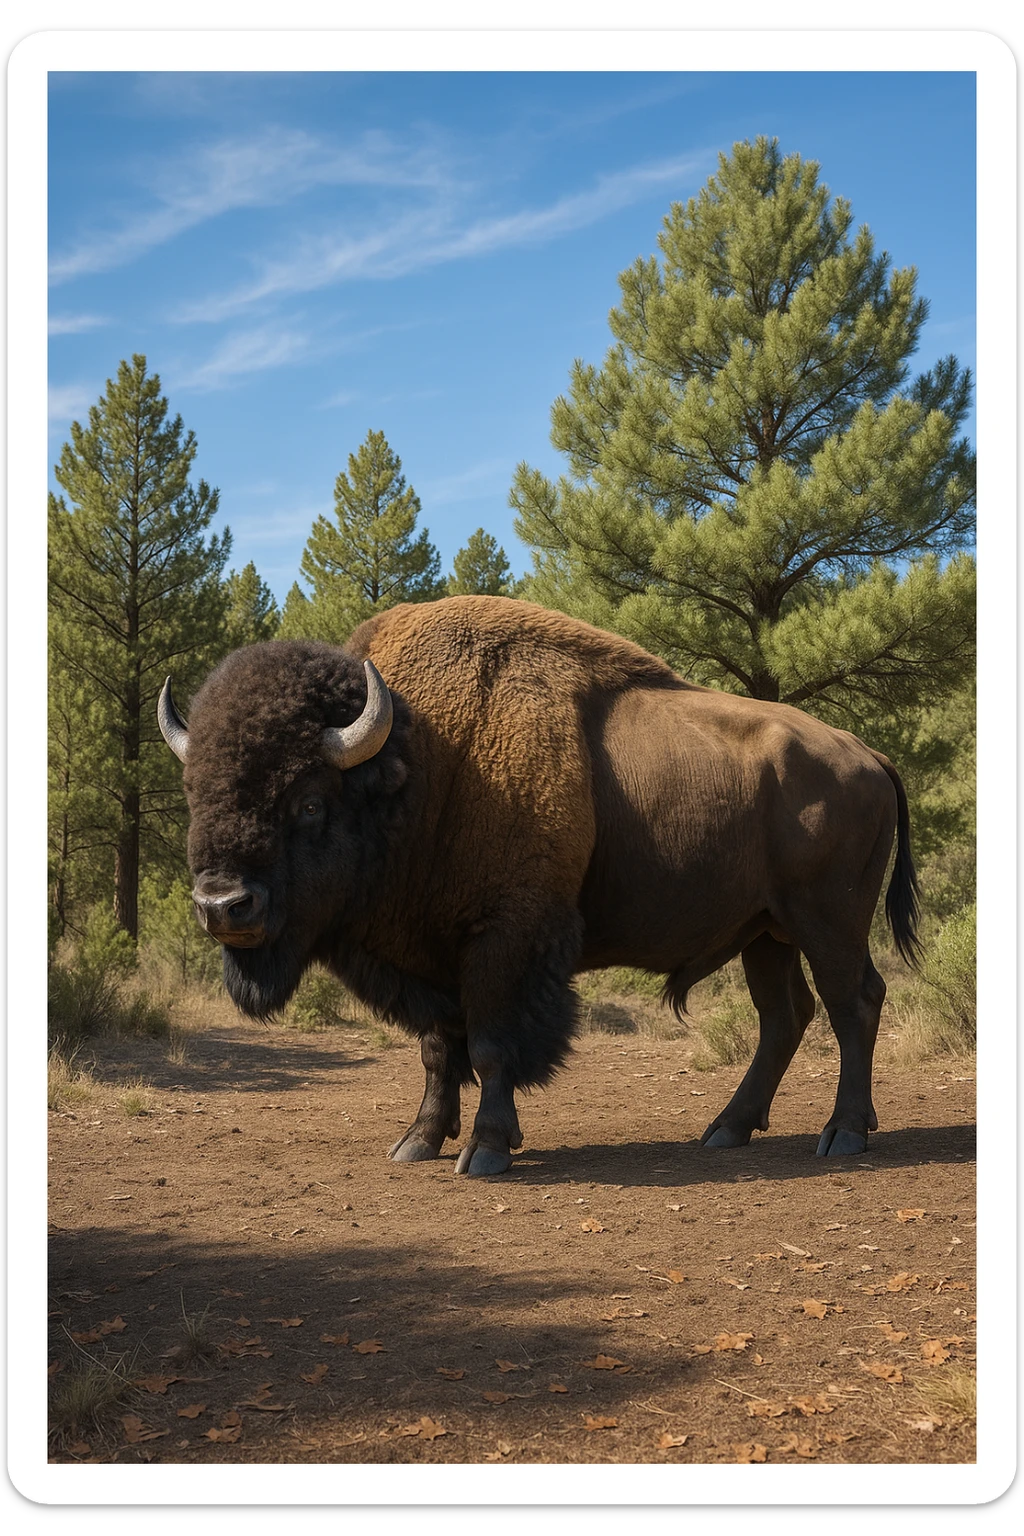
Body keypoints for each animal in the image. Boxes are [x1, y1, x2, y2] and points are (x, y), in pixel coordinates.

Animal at [158, 596, 920, 1176]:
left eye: (310, 801)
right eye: (195, 793)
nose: (224, 907)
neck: (424, 761)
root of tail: (869, 755)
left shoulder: (505, 939)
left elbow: (492, 1046)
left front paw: (488, 1150)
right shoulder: (431, 955)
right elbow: (438, 1050)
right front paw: (417, 1141)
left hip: (828, 923)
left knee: (853, 1004)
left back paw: (843, 1134)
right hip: (766, 933)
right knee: (783, 1017)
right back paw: (727, 1129)